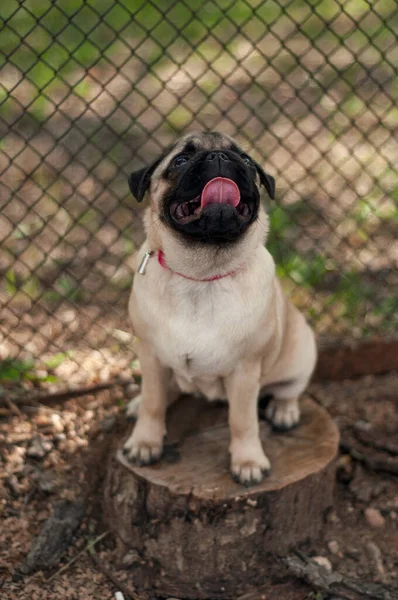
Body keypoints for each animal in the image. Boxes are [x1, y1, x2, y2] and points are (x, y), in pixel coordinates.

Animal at [123, 132, 316, 488]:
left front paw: (248, 461)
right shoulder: (151, 355)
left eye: (247, 161)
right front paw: (145, 442)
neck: (201, 276)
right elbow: (154, 404)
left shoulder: (244, 372)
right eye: (180, 161)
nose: (219, 157)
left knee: (288, 390)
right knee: (160, 391)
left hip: (301, 354)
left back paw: (284, 411)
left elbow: (243, 421)